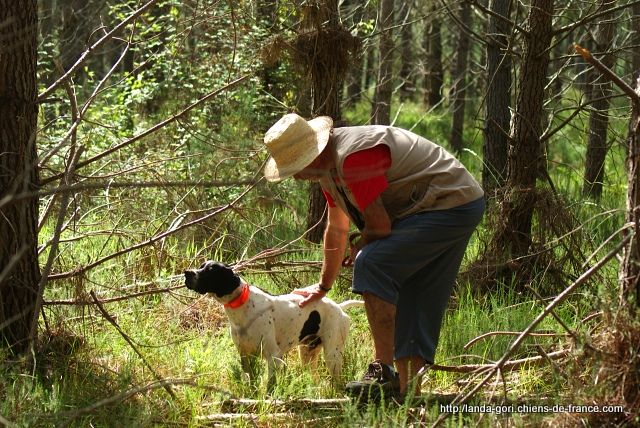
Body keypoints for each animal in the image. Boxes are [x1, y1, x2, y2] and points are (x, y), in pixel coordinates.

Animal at [184, 260, 360, 390]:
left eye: (210, 271)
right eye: (200, 266)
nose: (187, 273)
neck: (243, 306)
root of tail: (339, 307)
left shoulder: (273, 357)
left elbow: (270, 386)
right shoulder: (245, 355)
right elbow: (250, 379)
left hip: (333, 355)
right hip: (308, 353)